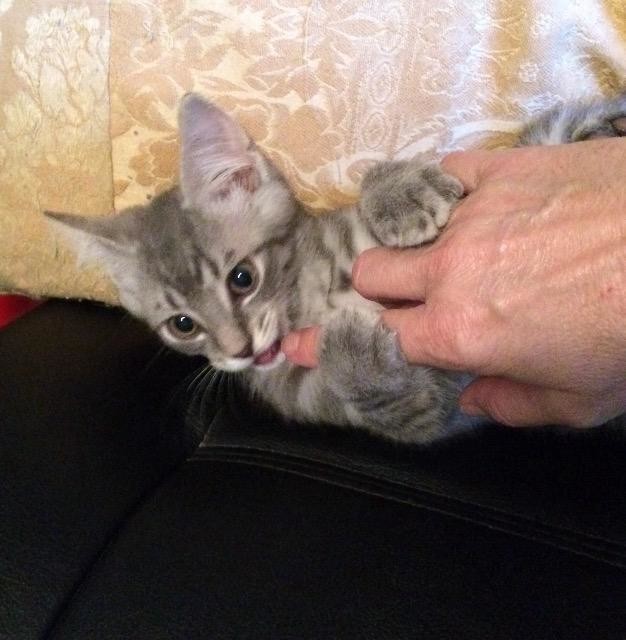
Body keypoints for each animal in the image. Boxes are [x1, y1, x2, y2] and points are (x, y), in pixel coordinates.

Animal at [45, 92, 626, 444]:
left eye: (242, 278)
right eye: (182, 325)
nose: (239, 352)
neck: (317, 297)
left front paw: (399, 192)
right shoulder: (430, 409)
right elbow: (404, 405)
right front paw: (355, 354)